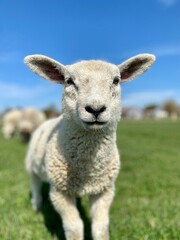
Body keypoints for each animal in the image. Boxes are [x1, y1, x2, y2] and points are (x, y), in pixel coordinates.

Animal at [24, 54, 155, 240]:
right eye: (69, 81)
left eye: (116, 80)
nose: (95, 109)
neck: (88, 170)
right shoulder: (59, 192)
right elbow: (74, 227)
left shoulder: (104, 190)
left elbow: (100, 227)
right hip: (32, 164)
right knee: (34, 182)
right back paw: (37, 205)